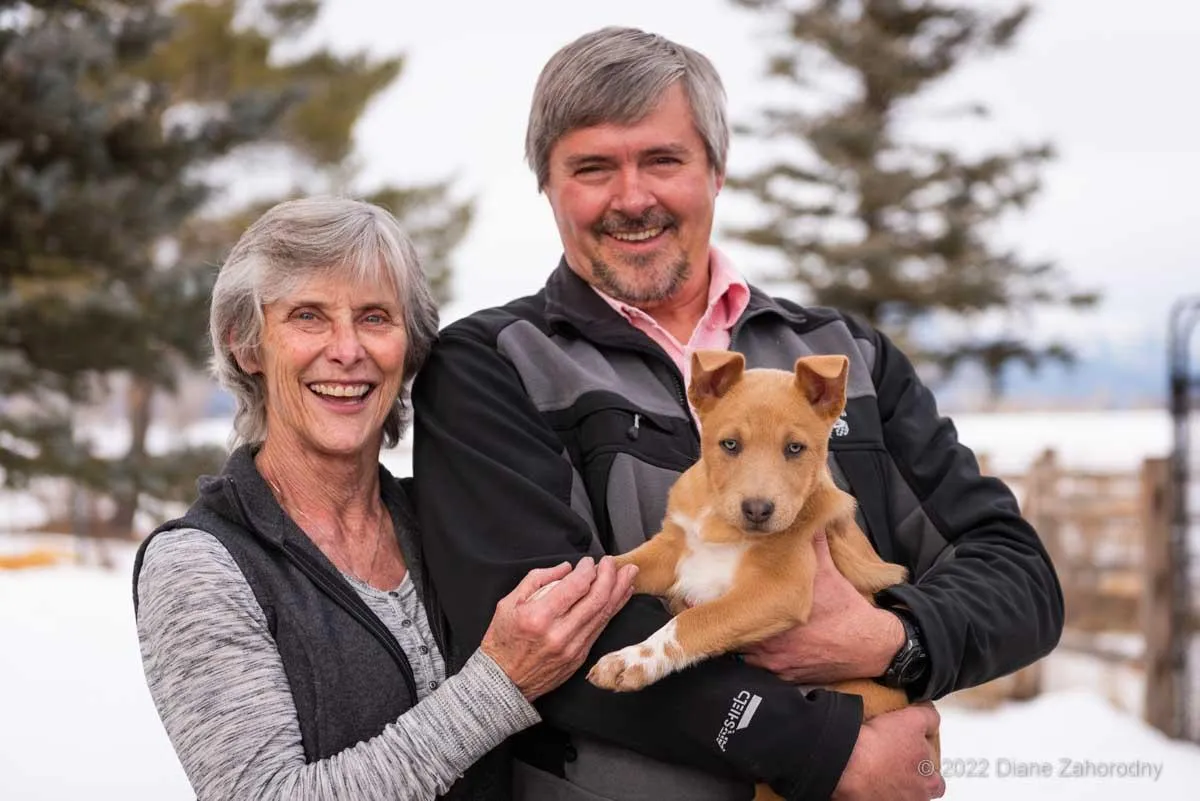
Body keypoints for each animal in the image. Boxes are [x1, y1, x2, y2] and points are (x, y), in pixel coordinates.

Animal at [585, 350, 931, 801]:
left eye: (795, 448)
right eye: (730, 445)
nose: (757, 509)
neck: (724, 527)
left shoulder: (780, 589)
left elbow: (694, 620)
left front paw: (631, 660)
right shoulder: (671, 549)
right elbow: (621, 563)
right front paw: (564, 590)